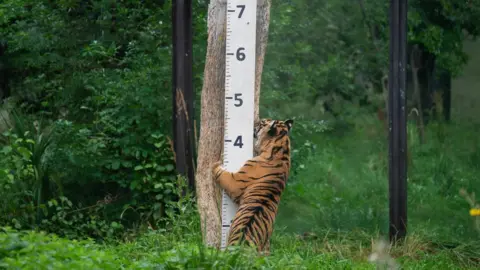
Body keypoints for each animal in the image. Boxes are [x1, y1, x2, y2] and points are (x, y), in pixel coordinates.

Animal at [213, 117, 294, 253]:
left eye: (262, 123)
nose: (259, 120)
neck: (282, 149)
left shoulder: (235, 182)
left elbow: (221, 173)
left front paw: (216, 163)